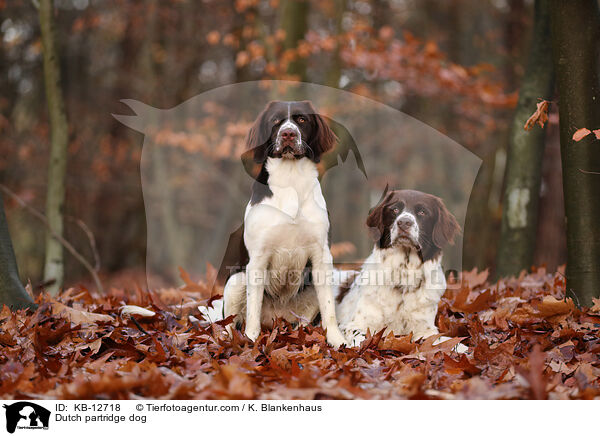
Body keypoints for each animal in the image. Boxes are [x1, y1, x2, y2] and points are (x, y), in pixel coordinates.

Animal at [221, 100, 346, 350]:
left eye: (302, 120)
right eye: (275, 121)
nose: (288, 134)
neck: (291, 179)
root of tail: (276, 322)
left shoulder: (321, 257)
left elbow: (329, 309)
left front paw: (337, 339)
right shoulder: (257, 259)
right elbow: (252, 310)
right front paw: (251, 339)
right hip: (236, 280)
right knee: (231, 323)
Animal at [338, 187, 460, 348]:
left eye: (422, 212)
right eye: (395, 209)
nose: (404, 222)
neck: (403, 274)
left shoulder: (425, 330)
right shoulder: (355, 324)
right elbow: (361, 338)